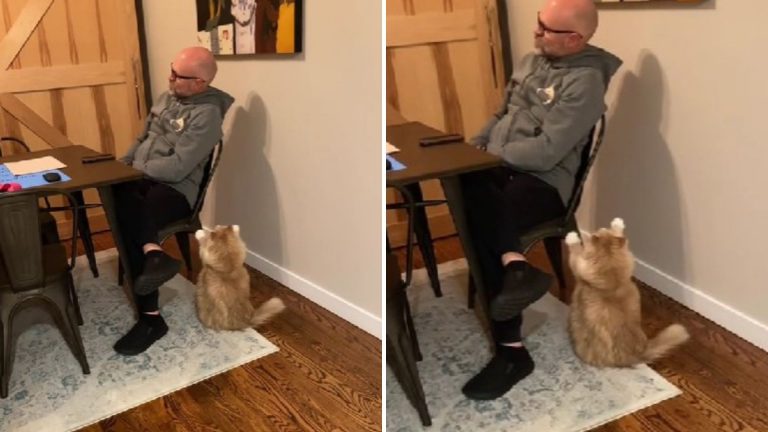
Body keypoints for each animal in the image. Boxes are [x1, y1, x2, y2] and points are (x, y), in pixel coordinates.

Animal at [564, 218, 688, 366]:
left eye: (598, 231)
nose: (601, 228)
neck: (613, 283)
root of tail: (636, 355)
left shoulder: (577, 267)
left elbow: (575, 250)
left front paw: (571, 237)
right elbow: (619, 234)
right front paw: (618, 223)